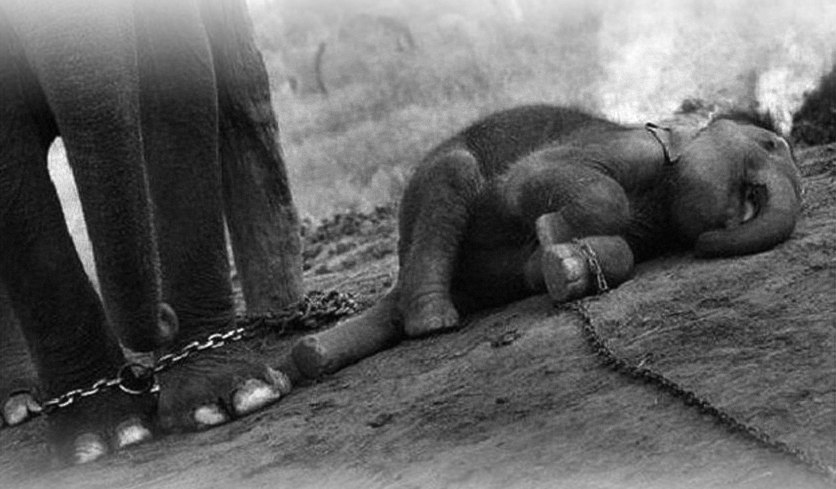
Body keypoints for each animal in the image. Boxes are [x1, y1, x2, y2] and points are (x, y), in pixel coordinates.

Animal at [291, 104, 802, 378]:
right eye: (770, 144)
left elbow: (624, 250)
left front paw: (554, 262)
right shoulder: (625, 148)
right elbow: (528, 181)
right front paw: (548, 233)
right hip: (429, 194)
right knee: (454, 173)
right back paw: (433, 322)